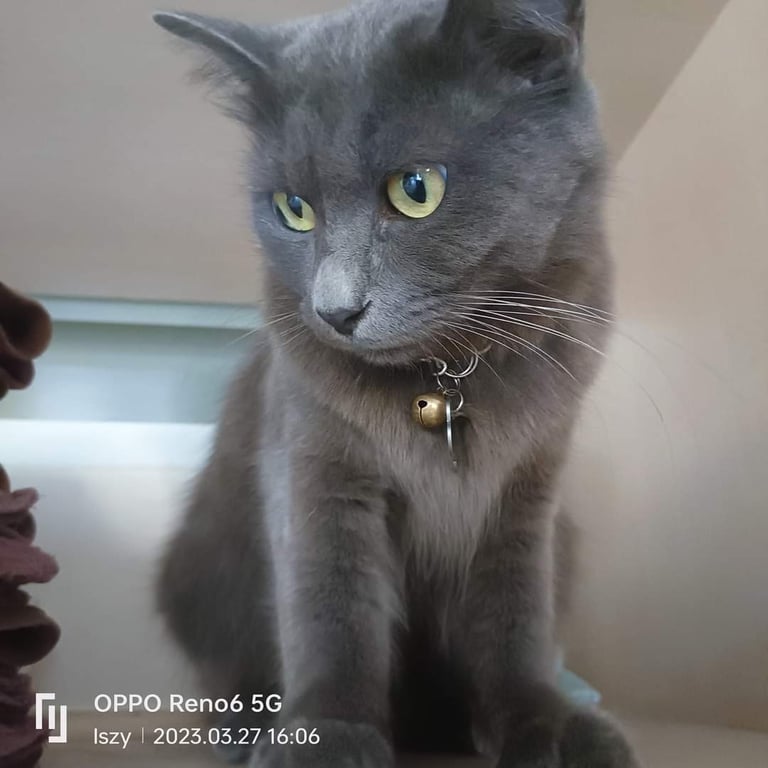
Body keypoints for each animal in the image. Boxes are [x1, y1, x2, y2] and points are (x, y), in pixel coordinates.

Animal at [153, 1, 640, 766]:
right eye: (293, 208)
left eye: (417, 190)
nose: (335, 310)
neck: (447, 372)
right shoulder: (318, 469)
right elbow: (333, 608)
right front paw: (325, 735)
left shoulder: (527, 492)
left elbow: (515, 618)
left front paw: (547, 726)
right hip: (198, 576)